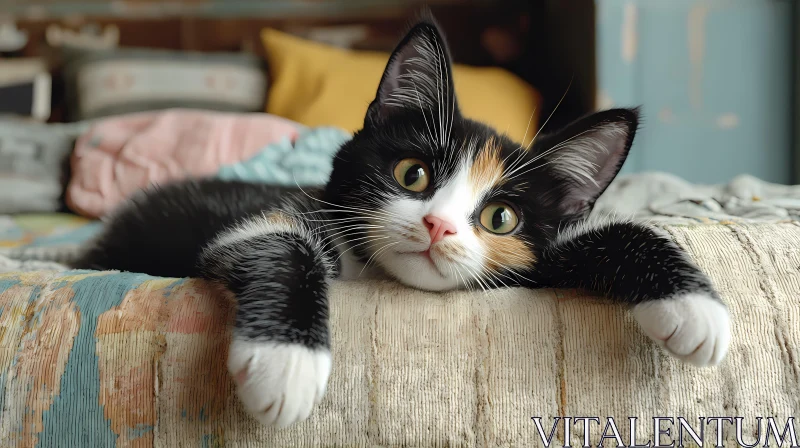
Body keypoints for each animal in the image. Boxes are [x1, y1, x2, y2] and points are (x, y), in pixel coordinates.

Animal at [70, 19, 732, 428]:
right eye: (413, 175)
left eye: (500, 217)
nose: (439, 226)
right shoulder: (247, 226)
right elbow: (272, 240)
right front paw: (287, 362)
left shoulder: (529, 267)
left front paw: (698, 309)